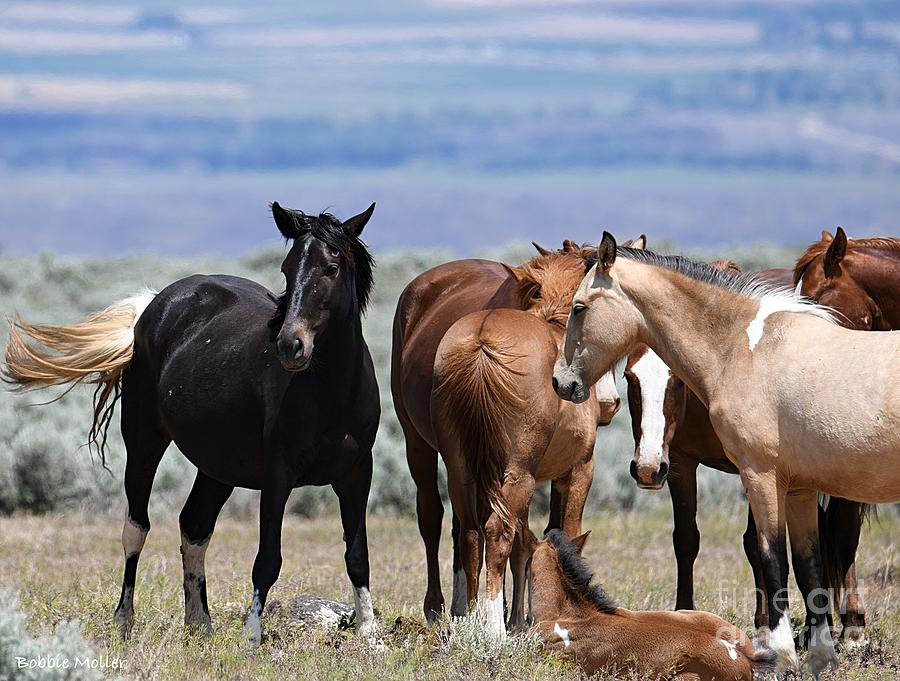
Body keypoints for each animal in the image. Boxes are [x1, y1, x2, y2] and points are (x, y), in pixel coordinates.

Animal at [1, 201, 380, 644]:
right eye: (287, 268)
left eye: (330, 268)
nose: (290, 345)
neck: (330, 393)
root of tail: (155, 304)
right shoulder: (278, 476)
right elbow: (267, 559)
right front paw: (252, 637)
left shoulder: (357, 474)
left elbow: (357, 555)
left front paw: (370, 635)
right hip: (144, 441)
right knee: (136, 527)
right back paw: (124, 621)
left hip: (217, 467)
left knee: (194, 526)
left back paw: (199, 623)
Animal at [390, 242, 624, 636]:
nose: (608, 404)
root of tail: (482, 341)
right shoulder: (577, 471)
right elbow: (566, 536)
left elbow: (526, 543)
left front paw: (520, 618)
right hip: (492, 467)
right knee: (483, 529)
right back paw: (487, 626)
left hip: (464, 471)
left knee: (469, 532)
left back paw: (470, 616)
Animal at [556, 232, 900, 676]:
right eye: (631, 378)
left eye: (579, 307)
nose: (561, 382)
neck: (743, 348)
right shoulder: (799, 489)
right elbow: (808, 564)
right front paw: (820, 657)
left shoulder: (760, 476)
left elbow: (772, 557)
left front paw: (780, 654)